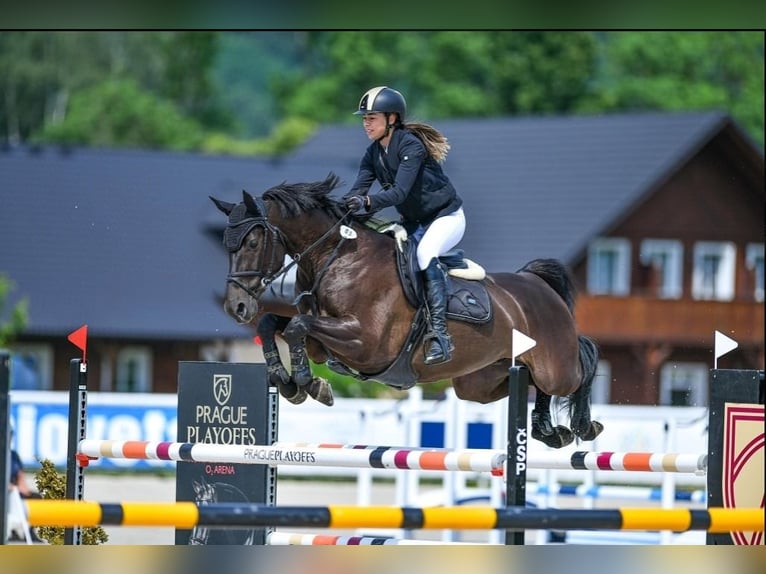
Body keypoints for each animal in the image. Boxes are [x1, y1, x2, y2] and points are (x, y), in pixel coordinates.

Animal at [212, 172, 608, 450]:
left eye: (252, 241)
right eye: (227, 244)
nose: (236, 306)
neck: (336, 258)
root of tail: (537, 282)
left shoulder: (366, 343)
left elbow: (296, 326)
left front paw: (309, 385)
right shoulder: (323, 340)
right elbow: (276, 323)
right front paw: (286, 380)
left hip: (555, 365)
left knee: (580, 364)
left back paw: (583, 426)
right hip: (478, 382)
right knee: (527, 385)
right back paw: (548, 430)